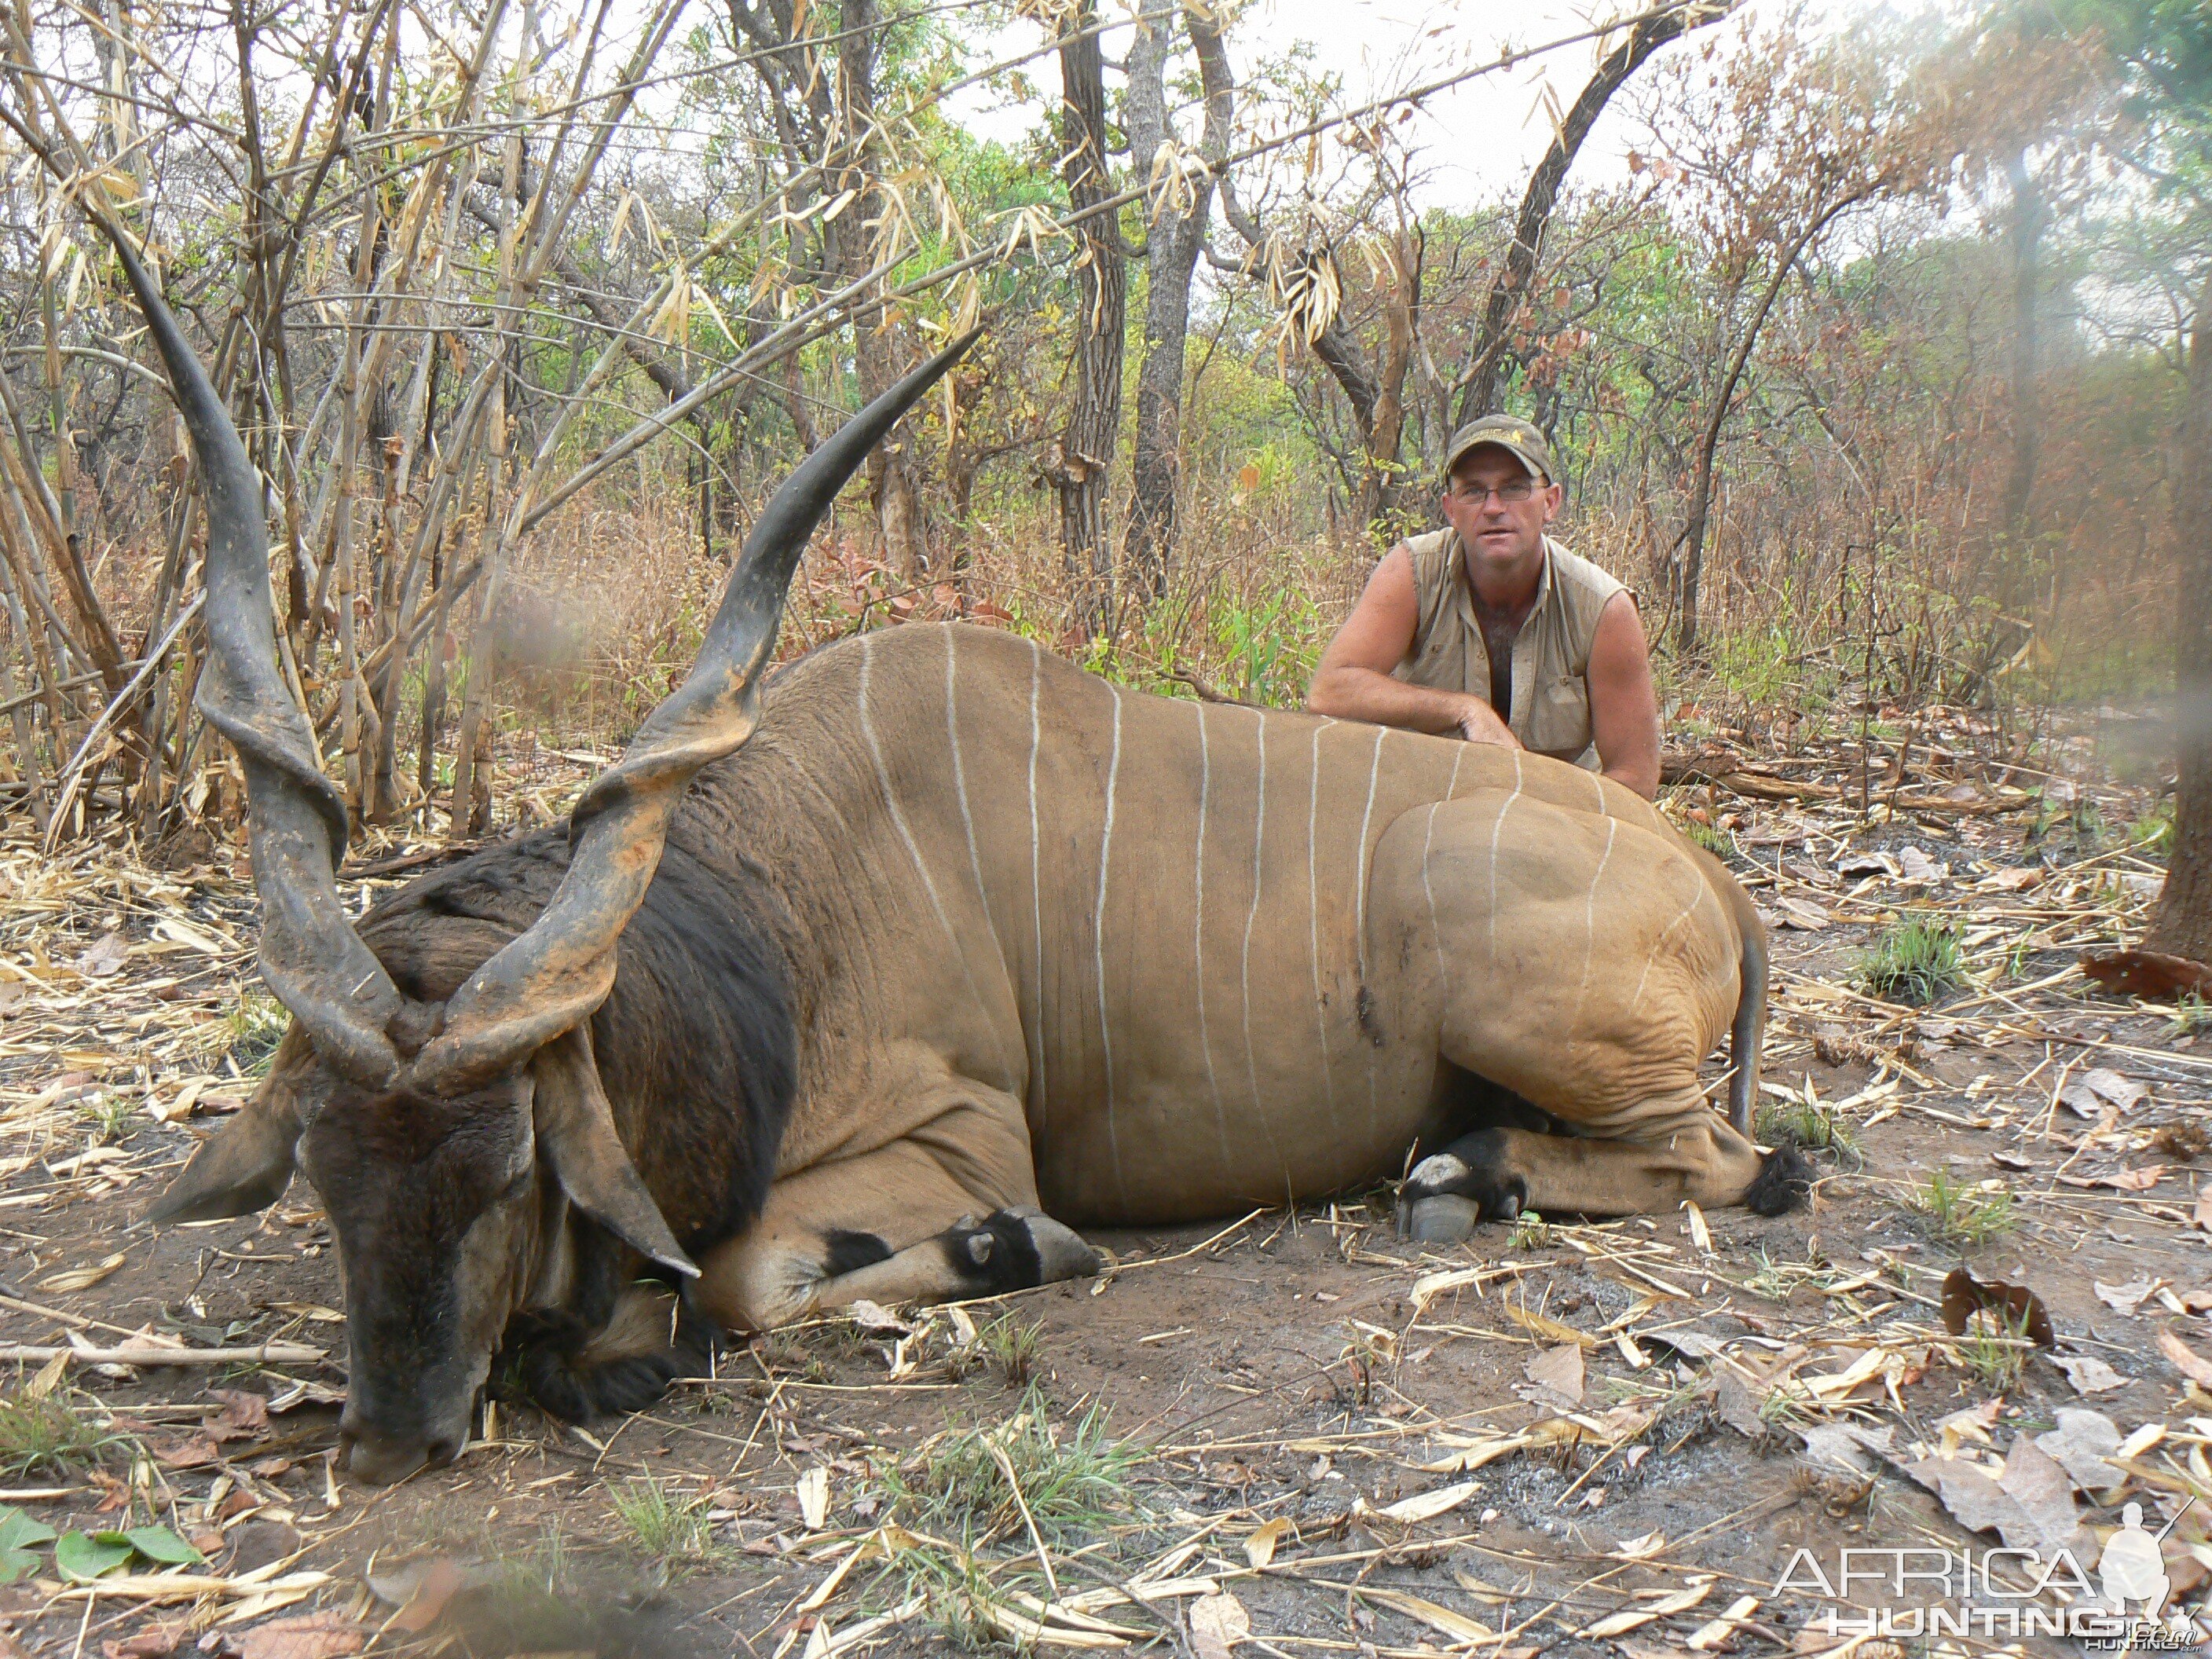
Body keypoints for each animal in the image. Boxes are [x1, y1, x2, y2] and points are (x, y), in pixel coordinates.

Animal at [112, 236, 1796, 1495]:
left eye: (515, 1166)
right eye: (326, 1174)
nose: (390, 1440)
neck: (783, 896)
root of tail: (1705, 874)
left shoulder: (965, 1134)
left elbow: (743, 1277)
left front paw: (1007, 1246)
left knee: (1736, 1161)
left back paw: (1463, 1178)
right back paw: (1466, 1166)